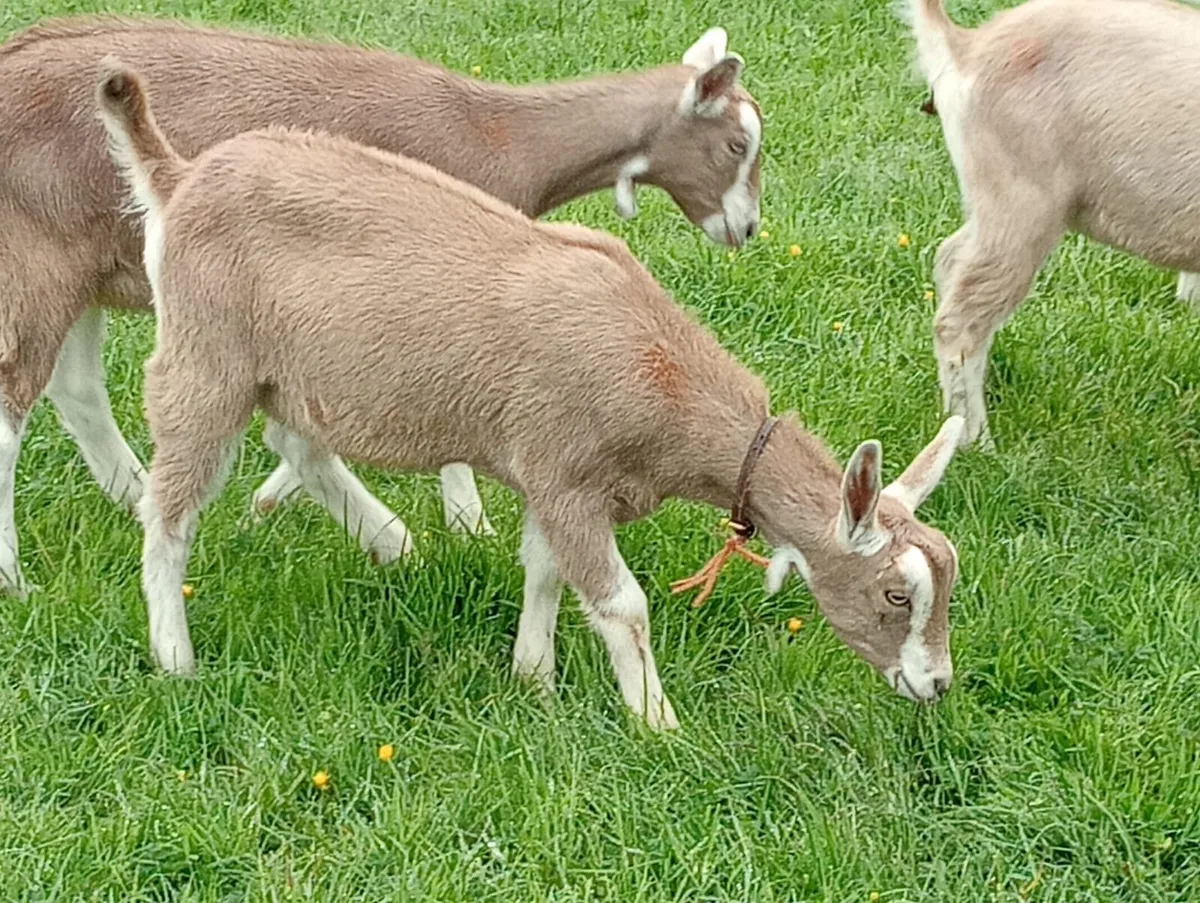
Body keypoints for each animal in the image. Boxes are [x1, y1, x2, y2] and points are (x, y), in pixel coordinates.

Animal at [0, 17, 762, 595]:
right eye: (736, 144)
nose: (747, 229)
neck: (502, 136)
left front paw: (272, 499)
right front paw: (467, 522)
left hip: (91, 265)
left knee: (77, 390)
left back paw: (136, 497)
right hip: (37, 257)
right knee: (13, 407)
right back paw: (17, 578)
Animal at [97, 61, 964, 726]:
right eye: (895, 593)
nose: (936, 684)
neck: (660, 371)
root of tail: (178, 176)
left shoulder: (556, 480)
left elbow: (544, 571)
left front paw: (533, 677)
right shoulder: (567, 472)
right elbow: (623, 605)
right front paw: (659, 725)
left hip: (293, 371)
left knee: (296, 444)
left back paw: (383, 539)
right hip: (205, 360)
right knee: (168, 512)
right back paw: (176, 657)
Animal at [905, 0, 1200, 447]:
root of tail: (968, 48)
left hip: (994, 201)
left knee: (950, 261)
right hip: (1022, 200)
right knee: (961, 318)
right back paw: (977, 441)